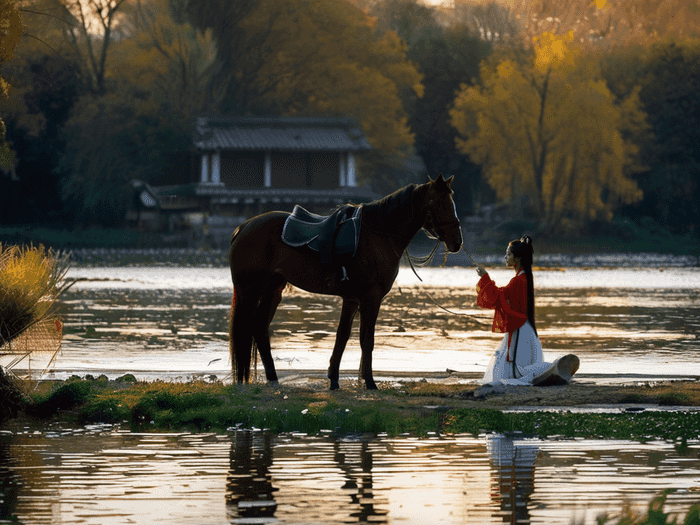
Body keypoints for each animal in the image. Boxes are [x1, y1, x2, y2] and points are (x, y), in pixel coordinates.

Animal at [227, 173, 462, 388]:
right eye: (441, 203)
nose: (457, 241)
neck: (378, 234)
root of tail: (243, 227)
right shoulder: (370, 297)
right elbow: (366, 339)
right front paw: (369, 382)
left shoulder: (352, 299)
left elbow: (343, 336)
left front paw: (334, 378)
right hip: (250, 291)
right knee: (247, 329)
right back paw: (245, 379)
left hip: (273, 290)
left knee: (259, 328)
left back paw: (272, 378)